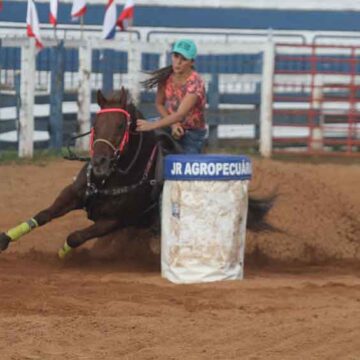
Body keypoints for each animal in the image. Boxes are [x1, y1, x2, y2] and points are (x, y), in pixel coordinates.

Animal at [0, 88, 272, 258]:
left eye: (121, 125)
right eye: (96, 124)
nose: (99, 162)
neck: (111, 177)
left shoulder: (114, 221)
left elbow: (75, 236)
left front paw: (62, 254)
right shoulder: (73, 193)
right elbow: (43, 215)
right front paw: (5, 238)